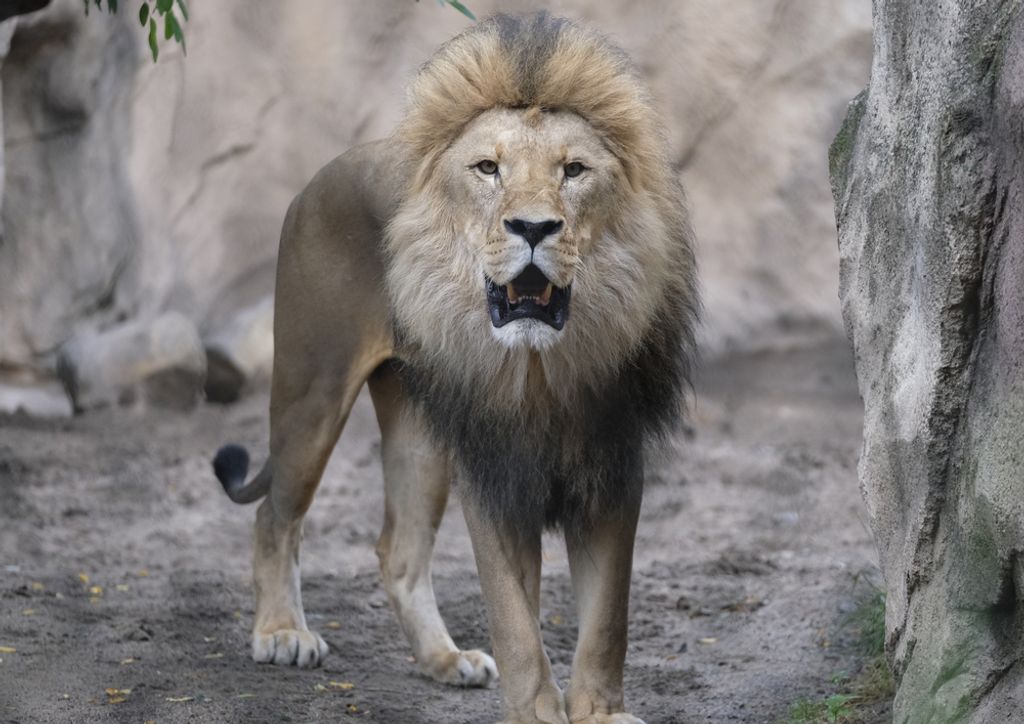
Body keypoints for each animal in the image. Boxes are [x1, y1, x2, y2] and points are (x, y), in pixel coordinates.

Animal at [213, 13, 697, 724]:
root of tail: (316, 178)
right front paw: (538, 712)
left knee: (399, 551)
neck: (538, 373)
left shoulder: (611, 467)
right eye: (488, 168)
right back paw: (281, 633)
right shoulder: (493, 475)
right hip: (312, 392)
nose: (533, 227)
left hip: (419, 430)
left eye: (574, 170)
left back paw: (443, 659)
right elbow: (516, 619)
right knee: (275, 516)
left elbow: (607, 620)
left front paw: (599, 712)